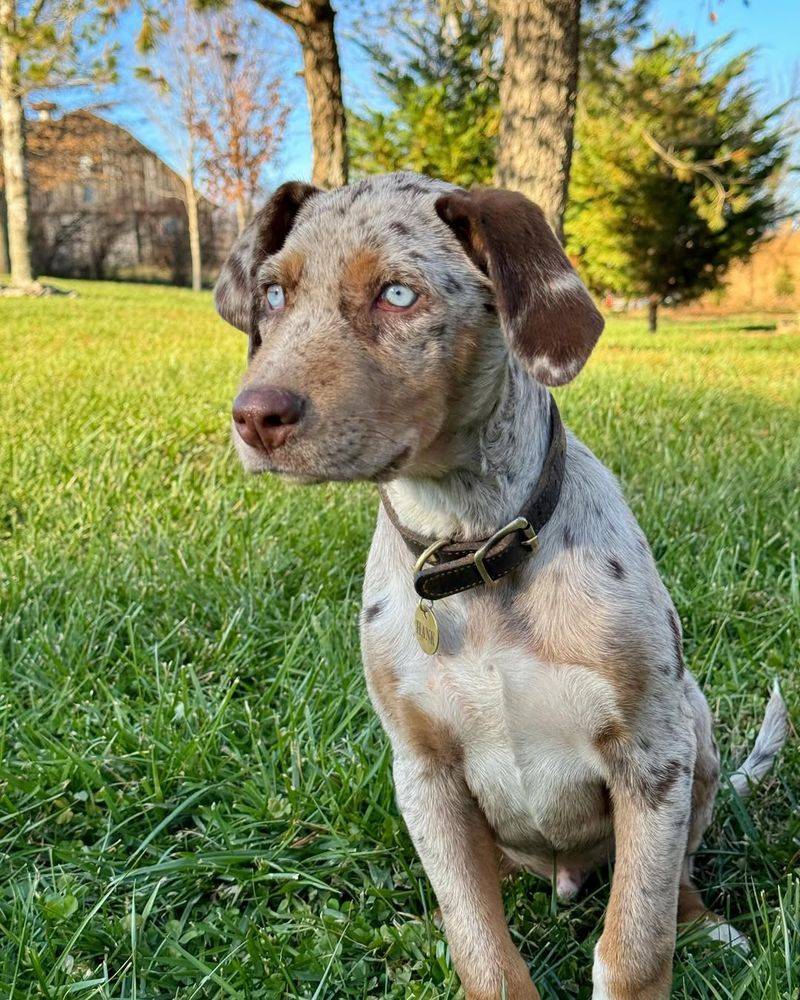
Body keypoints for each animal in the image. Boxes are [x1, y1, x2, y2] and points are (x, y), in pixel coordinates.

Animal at [214, 174, 788, 1000]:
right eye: (272, 295)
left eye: (398, 294)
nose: (255, 417)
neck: (472, 550)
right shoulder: (425, 775)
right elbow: (481, 944)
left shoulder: (651, 757)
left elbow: (636, 942)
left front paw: (656, 945)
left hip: (696, 729)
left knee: (675, 873)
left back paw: (705, 923)